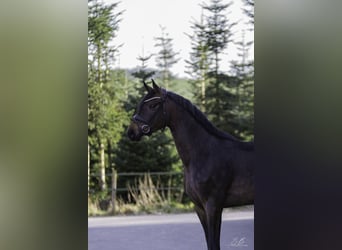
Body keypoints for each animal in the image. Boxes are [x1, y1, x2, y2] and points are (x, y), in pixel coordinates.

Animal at [126, 80, 254, 250]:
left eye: (153, 105)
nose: (131, 132)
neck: (204, 153)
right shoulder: (199, 208)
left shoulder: (213, 206)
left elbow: (214, 244)